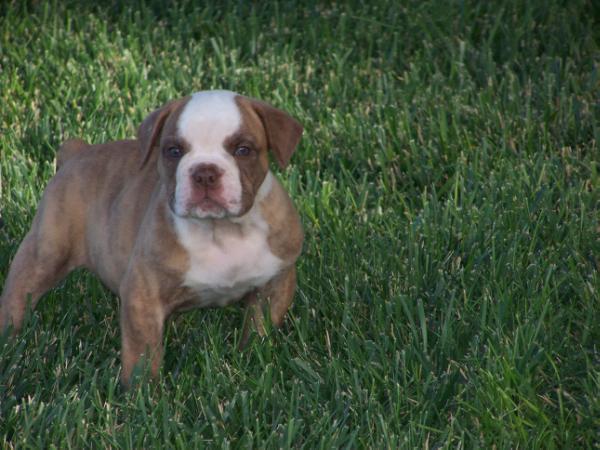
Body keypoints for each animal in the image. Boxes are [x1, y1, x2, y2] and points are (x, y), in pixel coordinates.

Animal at [0, 89, 304, 384]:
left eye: (243, 150)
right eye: (173, 150)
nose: (205, 172)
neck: (220, 230)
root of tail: (78, 153)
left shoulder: (275, 283)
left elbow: (259, 328)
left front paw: (252, 358)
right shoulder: (142, 296)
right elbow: (143, 353)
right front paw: (142, 392)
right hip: (45, 253)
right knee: (18, 296)